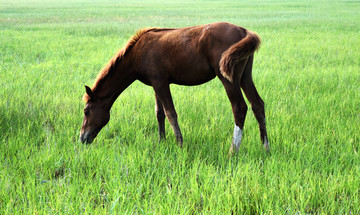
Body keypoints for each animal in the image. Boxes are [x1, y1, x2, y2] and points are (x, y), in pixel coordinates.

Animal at [79, 21, 270, 154]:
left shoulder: (161, 83)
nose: (81, 138)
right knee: (257, 105)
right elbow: (159, 113)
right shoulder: (155, 84)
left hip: (228, 79)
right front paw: (161, 142)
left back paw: (233, 151)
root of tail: (243, 31)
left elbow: (171, 113)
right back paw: (265, 147)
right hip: (245, 77)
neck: (138, 53)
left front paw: (179, 145)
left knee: (240, 108)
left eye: (86, 111)